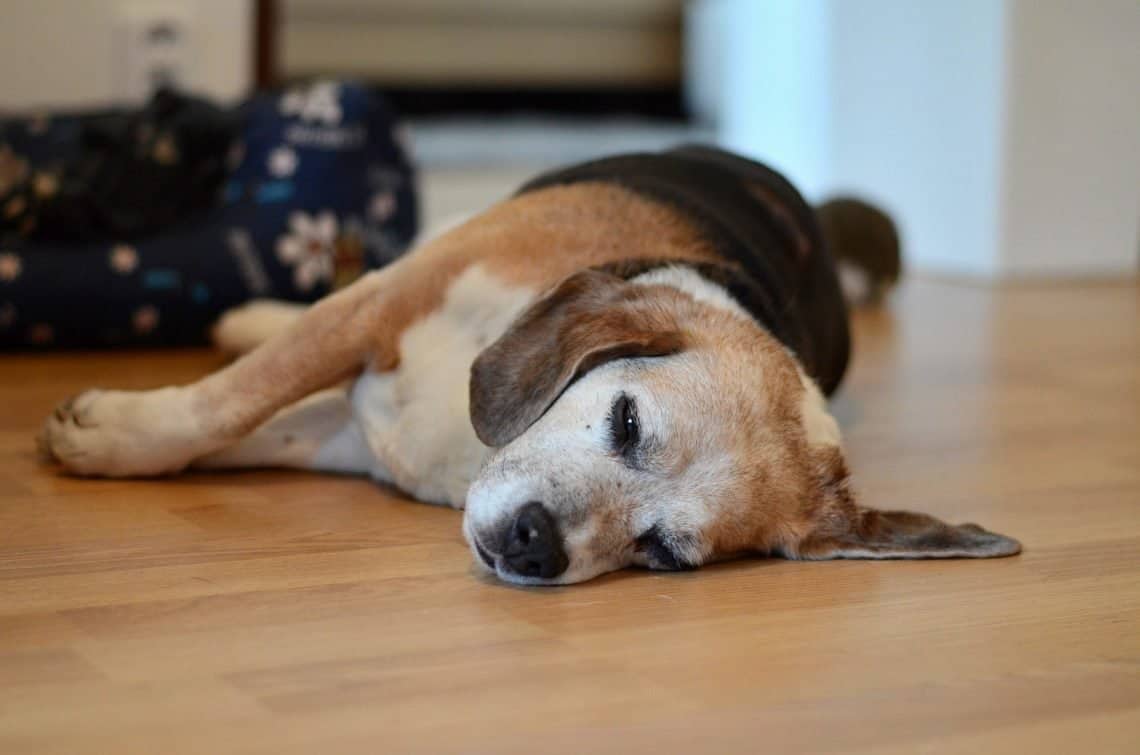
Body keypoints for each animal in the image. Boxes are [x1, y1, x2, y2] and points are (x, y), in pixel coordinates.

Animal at [42, 148, 1026, 583]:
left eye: (662, 552)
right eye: (626, 420)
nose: (534, 544)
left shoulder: (352, 434)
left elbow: (247, 424)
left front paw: (117, 436)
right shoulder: (382, 306)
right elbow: (227, 403)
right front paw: (121, 435)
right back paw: (248, 314)